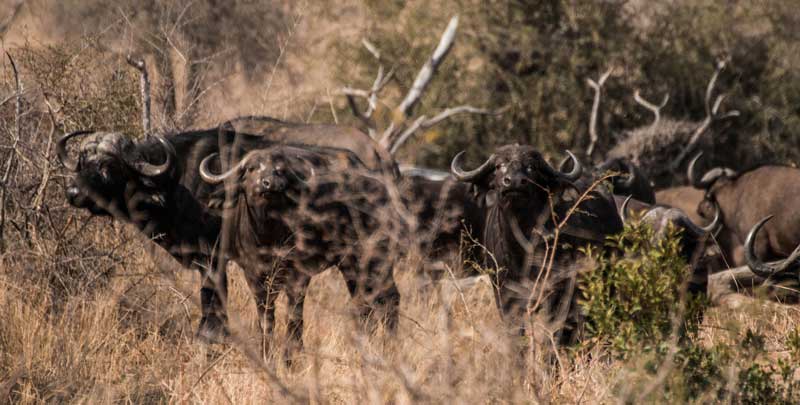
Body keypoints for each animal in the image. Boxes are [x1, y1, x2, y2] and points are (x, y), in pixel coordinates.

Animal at [446, 144, 620, 340]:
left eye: (531, 167)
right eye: (499, 166)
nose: (514, 182)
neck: (519, 248)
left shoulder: (556, 292)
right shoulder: (504, 294)